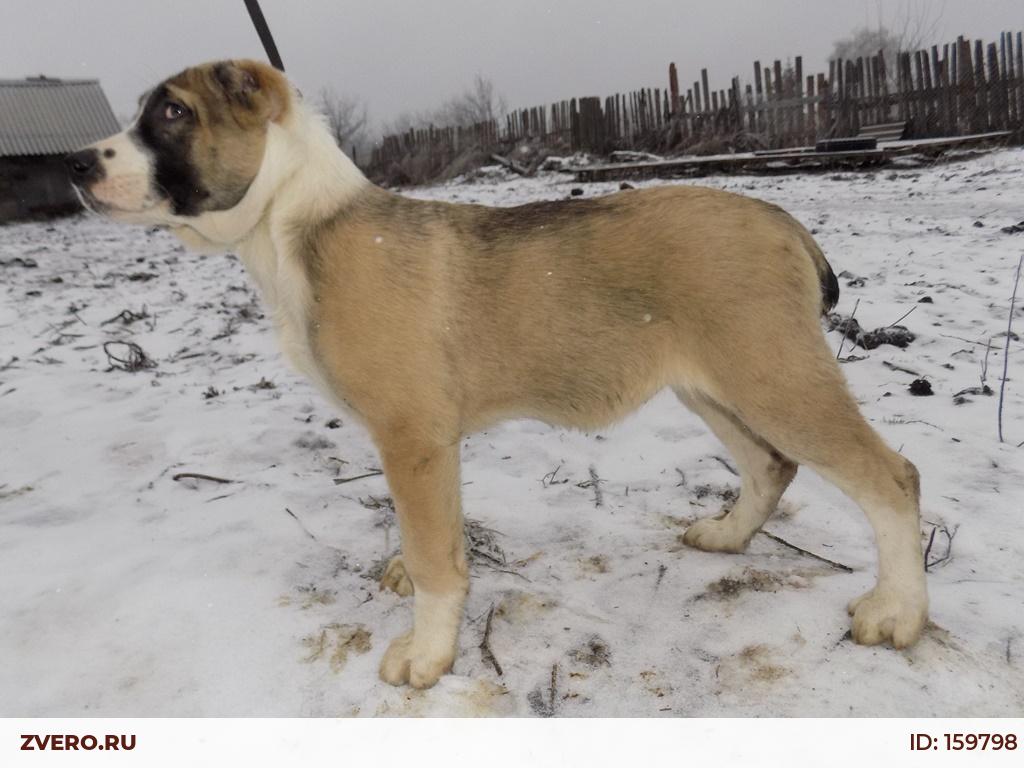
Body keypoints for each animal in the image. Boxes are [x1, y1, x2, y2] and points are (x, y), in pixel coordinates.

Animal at [67, 60, 928, 689]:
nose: (75, 163)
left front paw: (427, 654)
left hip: (772, 377)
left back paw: (898, 612)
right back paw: (727, 534)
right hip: (714, 386)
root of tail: (782, 220)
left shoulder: (412, 435)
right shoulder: (423, 446)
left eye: (172, 114)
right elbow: (432, 536)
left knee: (892, 477)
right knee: (770, 465)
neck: (295, 227)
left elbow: (433, 555)